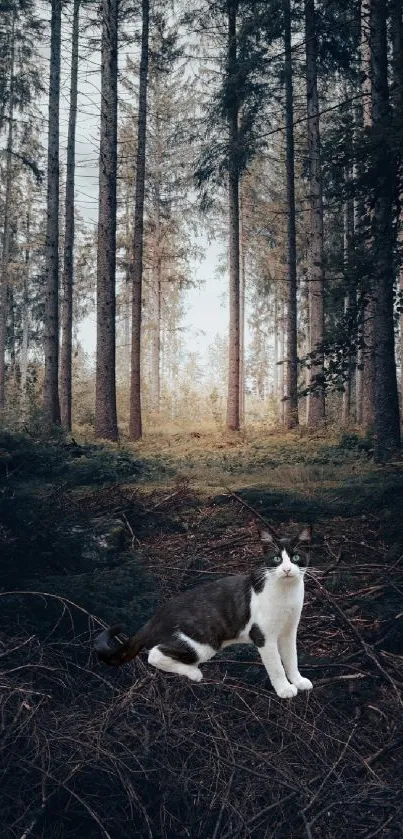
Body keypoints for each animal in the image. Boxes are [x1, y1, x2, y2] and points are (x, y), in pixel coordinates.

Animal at [93, 528, 314, 700]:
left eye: (295, 557)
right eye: (276, 559)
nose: (287, 569)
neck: (286, 593)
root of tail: (155, 618)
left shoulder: (288, 632)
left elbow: (291, 658)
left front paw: (298, 681)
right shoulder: (263, 636)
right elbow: (276, 666)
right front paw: (284, 689)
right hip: (202, 644)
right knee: (154, 655)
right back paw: (193, 673)